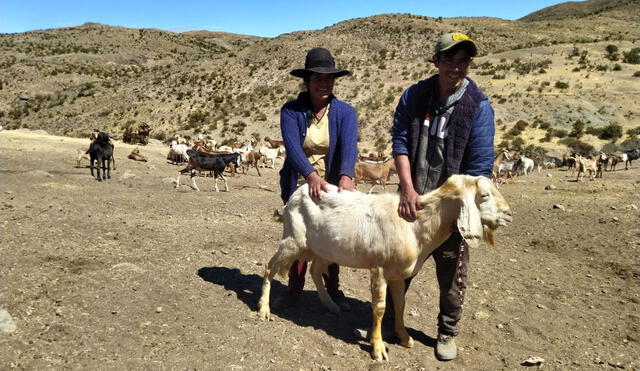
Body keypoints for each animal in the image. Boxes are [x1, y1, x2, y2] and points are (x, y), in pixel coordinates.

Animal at [258, 176, 512, 362]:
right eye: (484, 195)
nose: (508, 214)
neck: (413, 226)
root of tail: (295, 194)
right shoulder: (379, 269)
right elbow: (380, 308)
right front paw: (378, 348)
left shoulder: (398, 274)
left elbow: (400, 304)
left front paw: (404, 337)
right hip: (293, 239)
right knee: (269, 267)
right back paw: (263, 309)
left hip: (322, 248)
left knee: (314, 271)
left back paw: (331, 305)